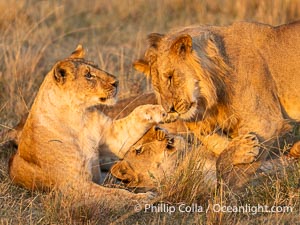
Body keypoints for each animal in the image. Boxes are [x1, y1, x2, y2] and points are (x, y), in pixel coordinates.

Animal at [8, 44, 169, 210]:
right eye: (88, 75)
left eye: (97, 67)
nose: (116, 82)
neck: (78, 117)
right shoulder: (76, 186)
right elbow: (115, 194)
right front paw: (143, 198)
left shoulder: (113, 136)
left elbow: (136, 114)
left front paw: (157, 110)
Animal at [134, 21, 300, 188]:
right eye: (157, 87)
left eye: (170, 77)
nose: (170, 110)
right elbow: (219, 147)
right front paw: (242, 148)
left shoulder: (265, 123)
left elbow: (225, 171)